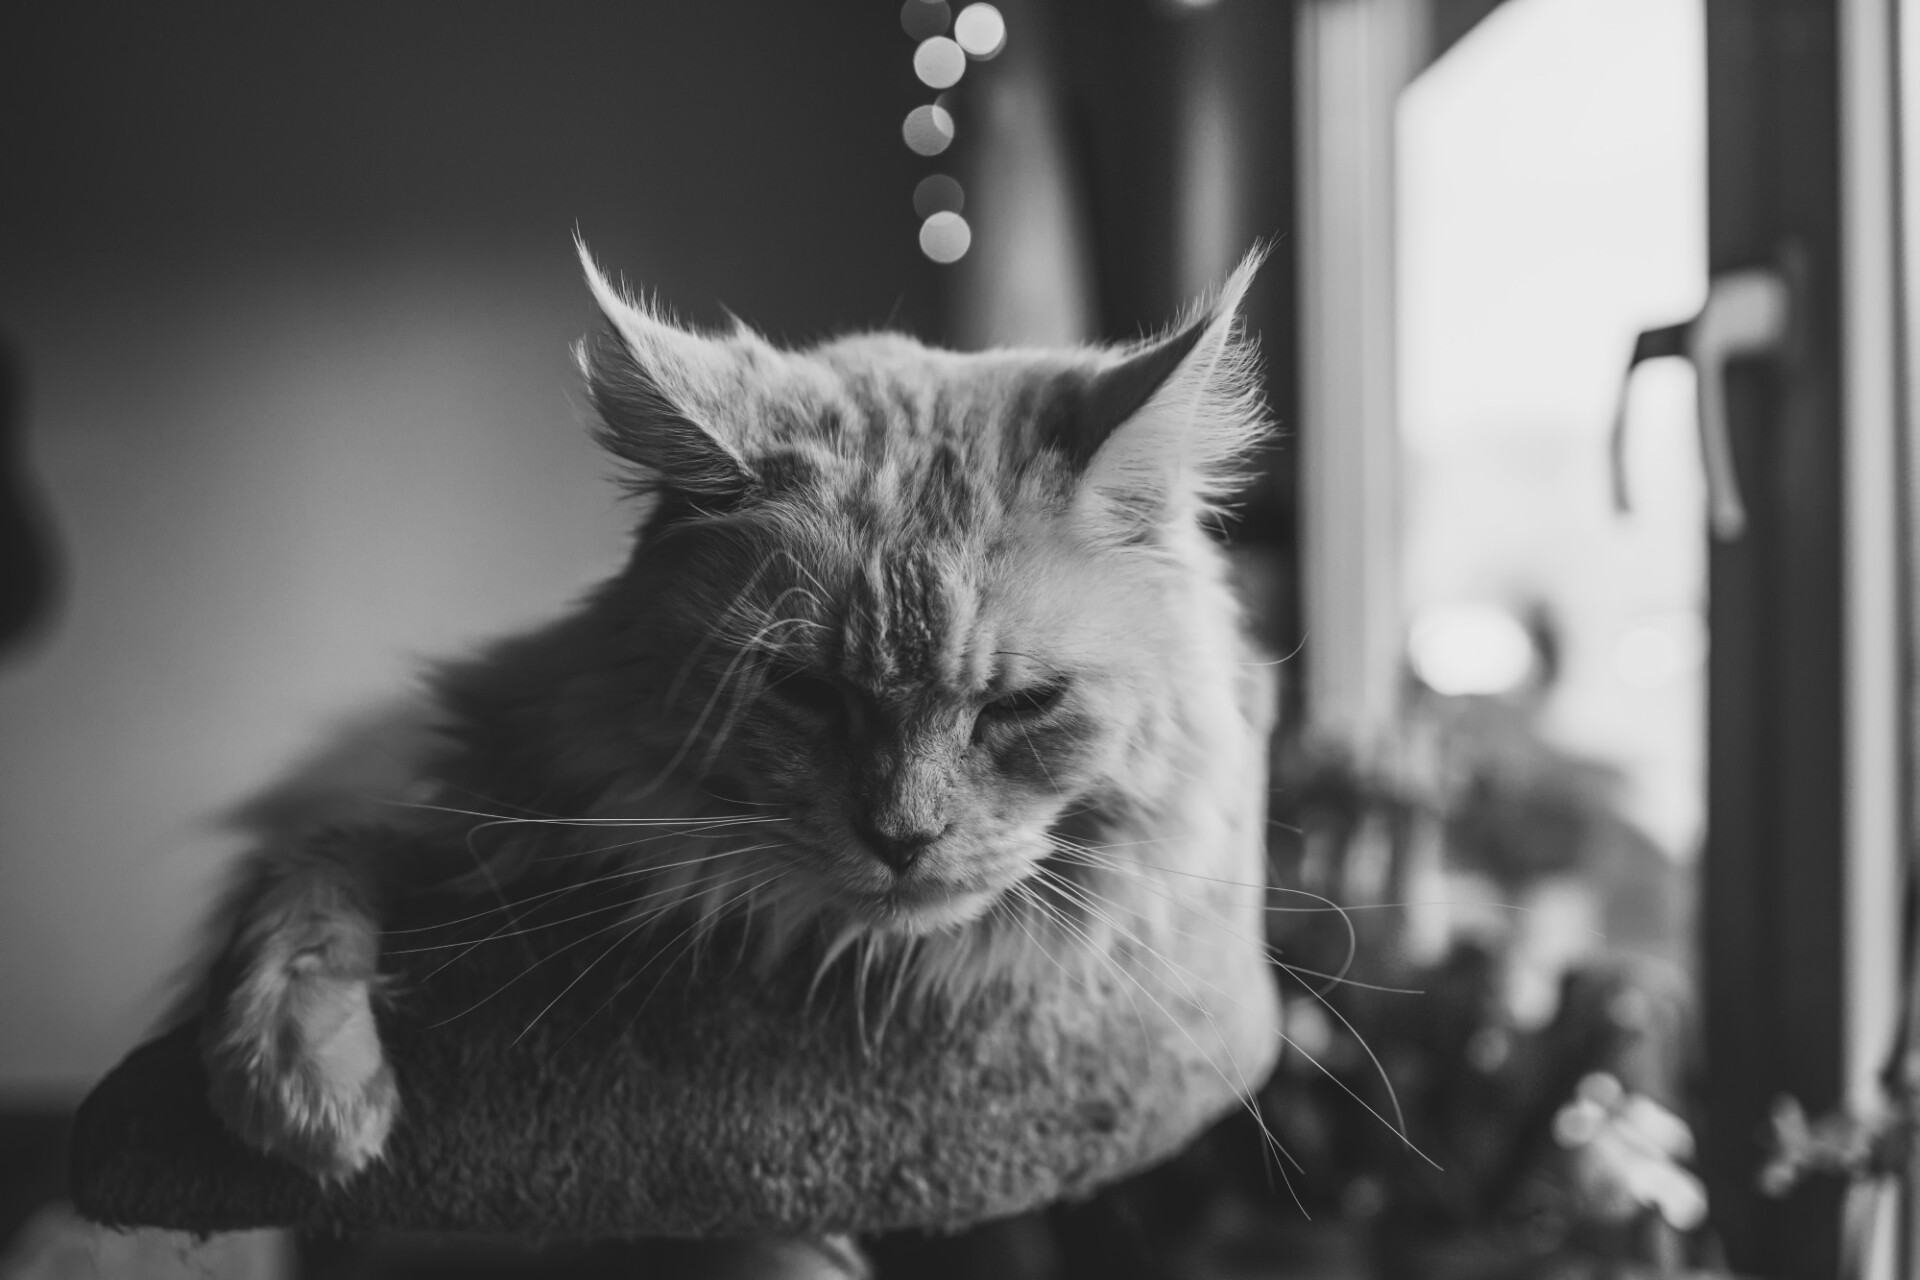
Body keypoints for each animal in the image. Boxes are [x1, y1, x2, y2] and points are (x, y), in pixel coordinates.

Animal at [191, 239, 1274, 1182]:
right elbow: (316, 868)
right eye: (805, 691)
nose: (902, 839)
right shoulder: (456, 811)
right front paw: (303, 1080)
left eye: (1024, 704)